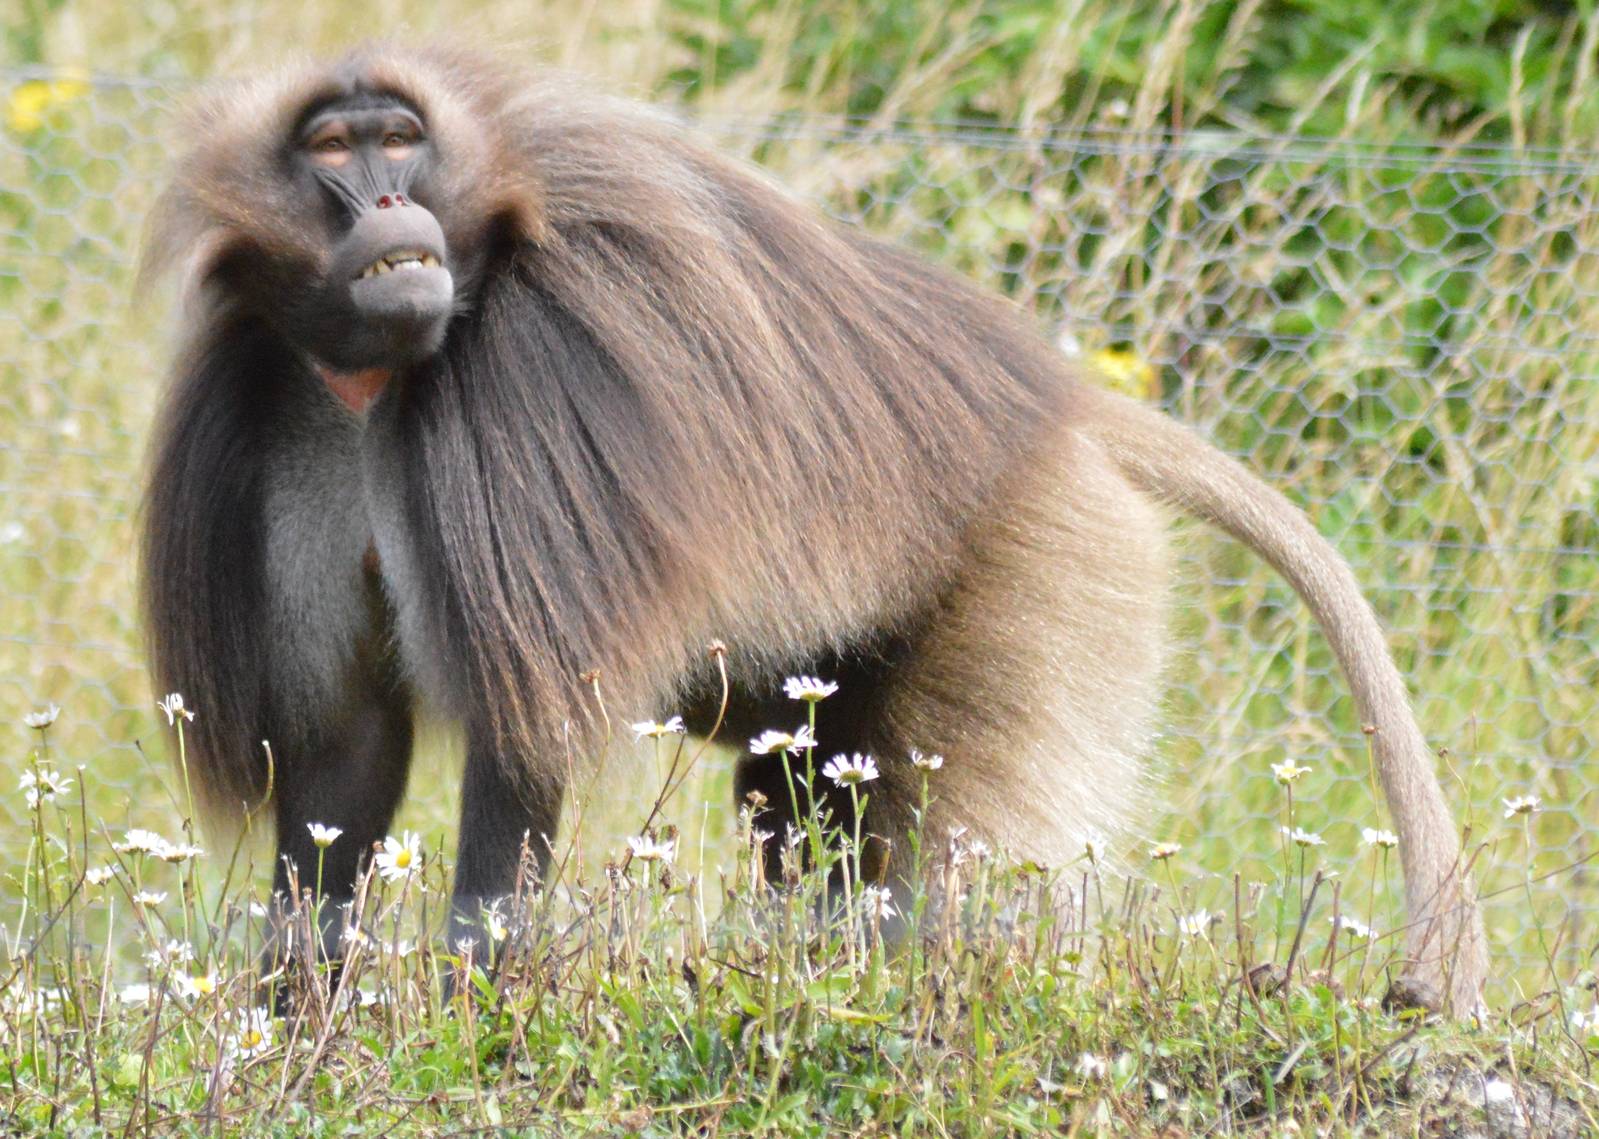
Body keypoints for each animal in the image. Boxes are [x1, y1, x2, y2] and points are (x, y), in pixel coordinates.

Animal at [139, 45, 1486, 1014]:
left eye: (402, 139)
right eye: (332, 147)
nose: (387, 197)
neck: (373, 380)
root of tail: (1057, 405)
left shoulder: (529, 378)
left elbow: (523, 736)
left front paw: (479, 1006)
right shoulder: (274, 413)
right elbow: (344, 753)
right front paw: (294, 1022)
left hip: (1042, 560)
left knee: (949, 847)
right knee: (807, 802)